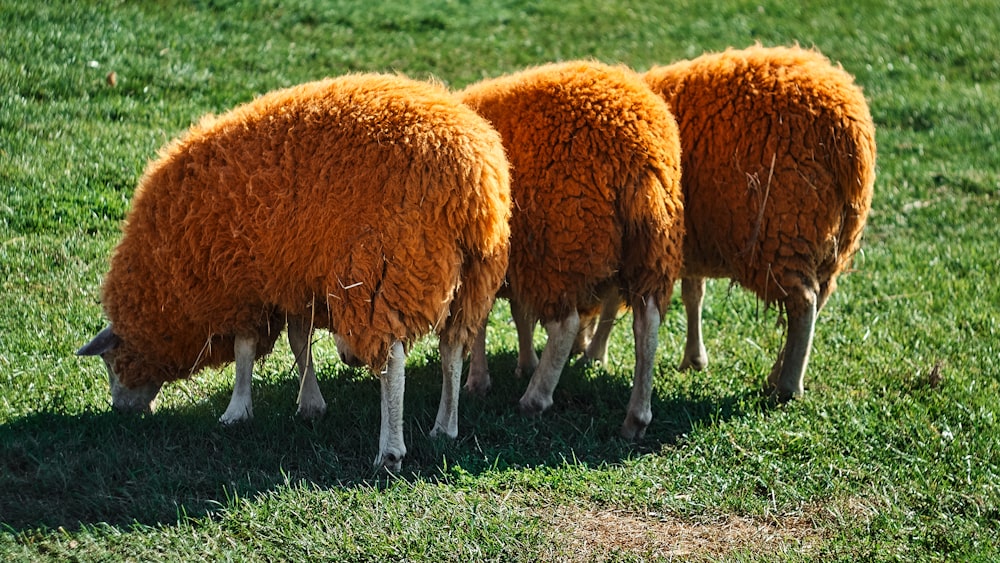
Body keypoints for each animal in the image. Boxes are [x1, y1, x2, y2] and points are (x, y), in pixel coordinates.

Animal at [79, 75, 512, 472]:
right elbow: (299, 340)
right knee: (453, 349)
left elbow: (245, 349)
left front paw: (237, 411)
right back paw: (445, 427)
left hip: (385, 271)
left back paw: (389, 450)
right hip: (473, 277)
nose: (121, 411)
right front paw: (310, 403)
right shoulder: (294, 277)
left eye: (111, 362)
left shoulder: (241, 286)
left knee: (393, 362)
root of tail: (471, 182)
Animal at [460, 61, 688, 440]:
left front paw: (478, 381)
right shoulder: (516, 261)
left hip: (561, 243)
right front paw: (524, 362)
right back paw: (636, 419)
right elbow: (519, 313)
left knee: (565, 325)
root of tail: (639, 152)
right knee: (647, 326)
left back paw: (534, 399)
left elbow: (481, 320)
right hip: (651, 248)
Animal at [636, 45, 880, 400]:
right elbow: (693, 293)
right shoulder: (687, 241)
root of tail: (851, 129)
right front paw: (694, 358)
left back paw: (788, 386)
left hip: (779, 230)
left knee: (804, 303)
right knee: (818, 298)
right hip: (834, 237)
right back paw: (778, 373)